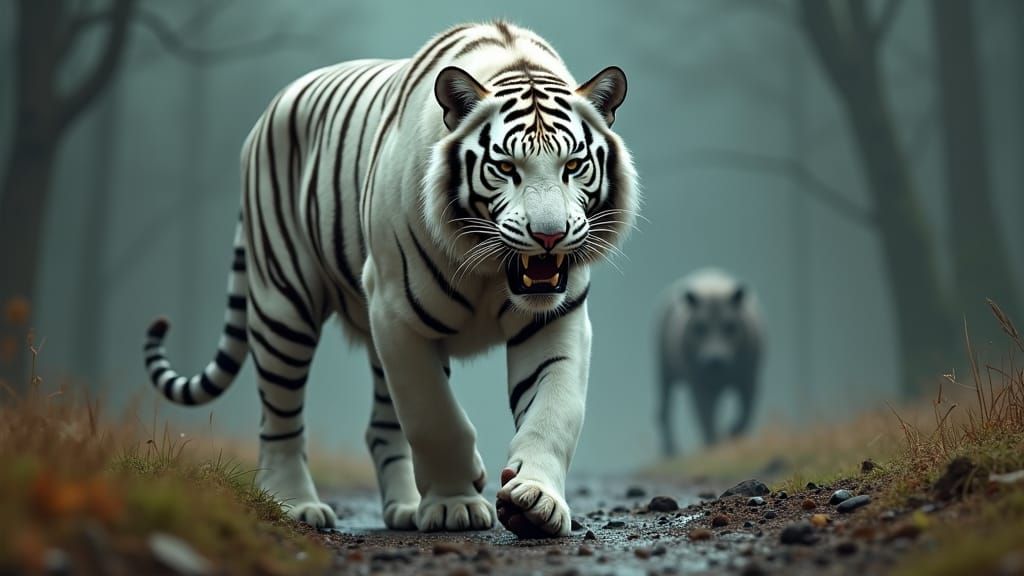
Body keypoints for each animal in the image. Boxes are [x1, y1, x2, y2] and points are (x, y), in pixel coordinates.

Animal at [142, 20, 638, 538]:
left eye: (573, 166)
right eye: (506, 168)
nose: (549, 235)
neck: (489, 270)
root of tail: (271, 109)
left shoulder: (557, 318)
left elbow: (553, 410)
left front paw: (535, 501)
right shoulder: (396, 313)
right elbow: (433, 417)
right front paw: (456, 504)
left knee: (381, 427)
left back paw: (405, 508)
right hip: (283, 304)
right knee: (280, 417)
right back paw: (295, 504)